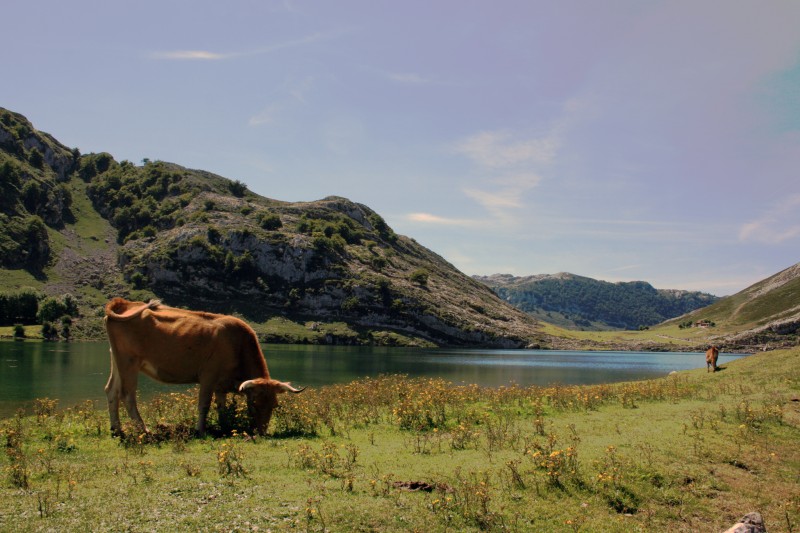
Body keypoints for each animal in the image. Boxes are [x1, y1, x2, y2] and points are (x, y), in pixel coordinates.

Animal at [104, 298, 304, 434]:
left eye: (275, 405)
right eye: (254, 404)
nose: (261, 431)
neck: (237, 344)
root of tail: (125, 303)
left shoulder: (221, 384)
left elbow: (222, 407)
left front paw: (225, 426)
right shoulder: (208, 376)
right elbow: (204, 404)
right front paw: (200, 430)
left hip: (117, 360)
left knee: (111, 390)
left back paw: (116, 429)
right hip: (129, 362)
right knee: (127, 395)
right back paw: (144, 430)